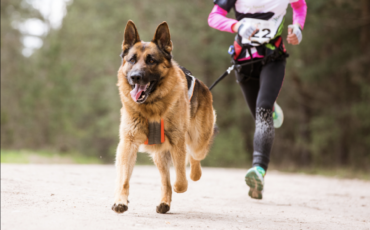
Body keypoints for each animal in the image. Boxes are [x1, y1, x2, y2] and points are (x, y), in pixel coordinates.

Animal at [112, 20, 217, 215]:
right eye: (132, 60)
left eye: (151, 60)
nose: (135, 77)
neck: (151, 107)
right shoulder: (128, 143)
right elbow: (124, 179)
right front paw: (121, 201)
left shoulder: (177, 142)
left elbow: (181, 181)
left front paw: (181, 184)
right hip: (159, 154)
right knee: (164, 180)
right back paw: (164, 202)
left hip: (197, 141)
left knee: (194, 158)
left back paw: (194, 174)